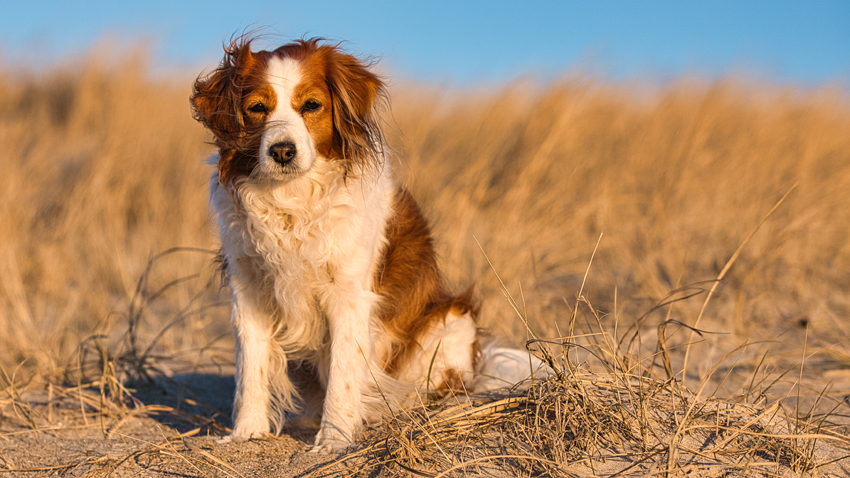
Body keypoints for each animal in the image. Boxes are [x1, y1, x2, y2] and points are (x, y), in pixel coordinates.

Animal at [191, 37, 536, 452]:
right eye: (257, 108)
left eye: (311, 105)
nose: (282, 151)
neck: (293, 201)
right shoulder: (249, 288)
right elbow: (251, 369)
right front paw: (247, 433)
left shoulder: (349, 295)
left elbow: (343, 371)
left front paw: (334, 440)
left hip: (451, 322)